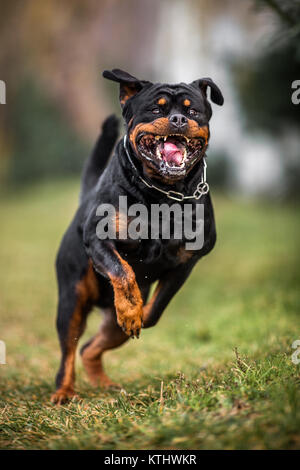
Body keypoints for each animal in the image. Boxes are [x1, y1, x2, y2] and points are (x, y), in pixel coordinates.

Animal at [51, 69, 223, 404]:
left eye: (193, 111)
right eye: (156, 109)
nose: (178, 119)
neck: (162, 194)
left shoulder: (187, 260)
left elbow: (155, 309)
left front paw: (138, 313)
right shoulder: (99, 240)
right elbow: (122, 270)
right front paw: (130, 309)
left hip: (107, 324)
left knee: (89, 347)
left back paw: (103, 382)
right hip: (72, 299)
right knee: (69, 349)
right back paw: (64, 391)